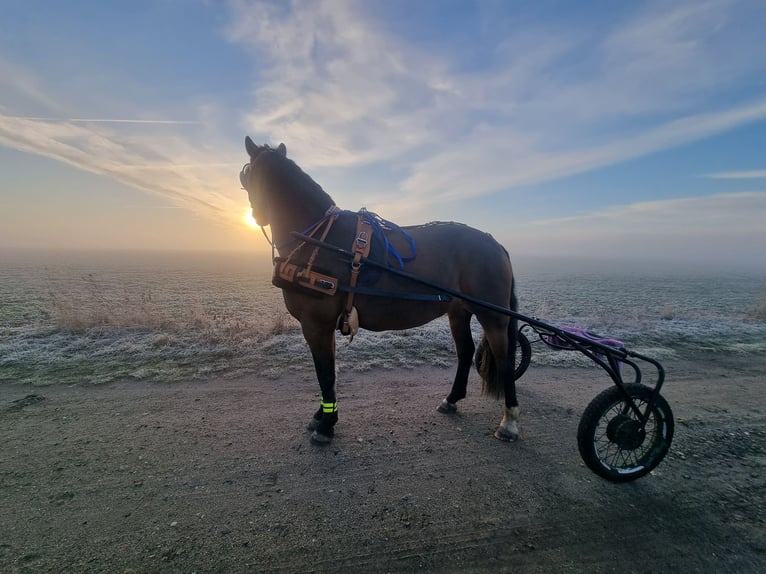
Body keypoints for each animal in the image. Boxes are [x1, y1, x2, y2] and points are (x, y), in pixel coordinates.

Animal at [240, 136, 520, 445]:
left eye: (246, 175)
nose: (256, 214)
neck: (321, 240)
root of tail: (495, 244)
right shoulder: (325, 325)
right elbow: (330, 371)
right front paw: (322, 416)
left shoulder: (316, 323)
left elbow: (324, 372)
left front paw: (326, 425)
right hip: (459, 311)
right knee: (466, 350)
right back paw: (452, 399)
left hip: (492, 315)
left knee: (505, 359)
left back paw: (509, 421)